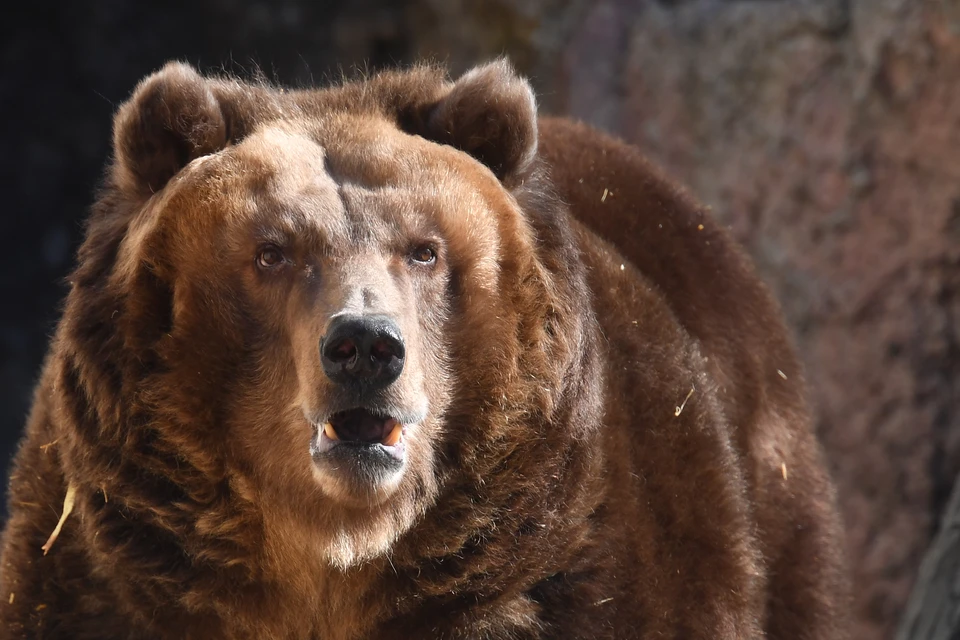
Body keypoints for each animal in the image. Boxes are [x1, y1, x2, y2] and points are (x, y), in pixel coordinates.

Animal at [0, 60, 849, 639]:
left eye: (423, 250)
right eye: (272, 251)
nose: (366, 347)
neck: (334, 553)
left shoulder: (589, 566)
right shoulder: (102, 577)